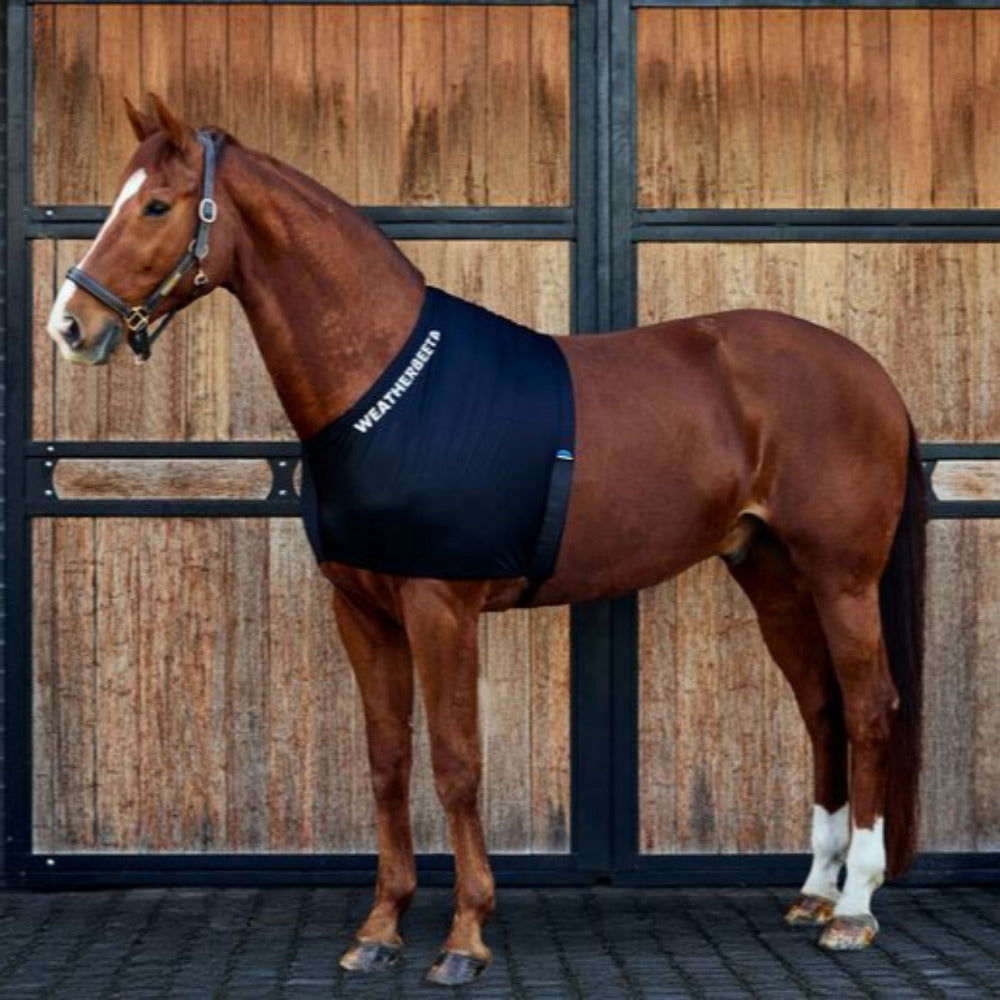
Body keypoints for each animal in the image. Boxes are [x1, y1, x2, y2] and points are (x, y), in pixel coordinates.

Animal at [47, 95, 925, 987]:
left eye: (158, 206)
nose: (71, 325)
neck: (388, 387)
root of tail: (870, 375)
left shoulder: (442, 606)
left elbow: (456, 762)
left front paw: (464, 935)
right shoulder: (363, 613)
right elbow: (389, 761)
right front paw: (380, 927)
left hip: (842, 578)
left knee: (868, 708)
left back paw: (853, 907)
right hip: (772, 575)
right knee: (821, 708)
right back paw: (814, 891)